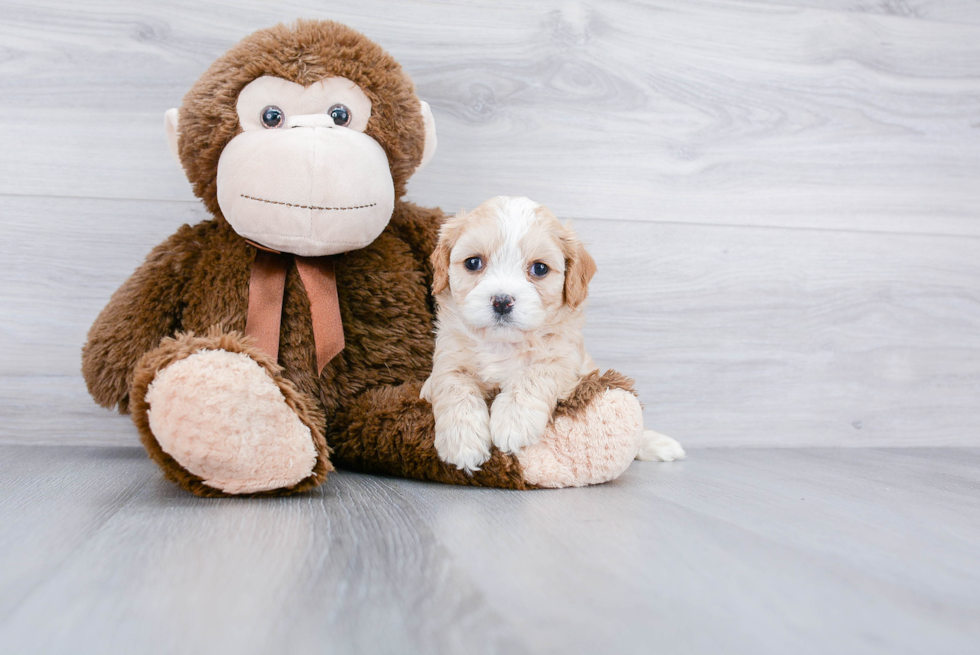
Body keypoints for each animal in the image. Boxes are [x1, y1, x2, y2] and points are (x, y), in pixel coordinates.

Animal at [420, 195, 680, 472]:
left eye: (540, 269)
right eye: (473, 262)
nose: (502, 301)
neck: (502, 344)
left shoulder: (566, 361)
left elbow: (536, 373)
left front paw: (513, 421)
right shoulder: (446, 363)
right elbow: (455, 388)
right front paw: (463, 441)